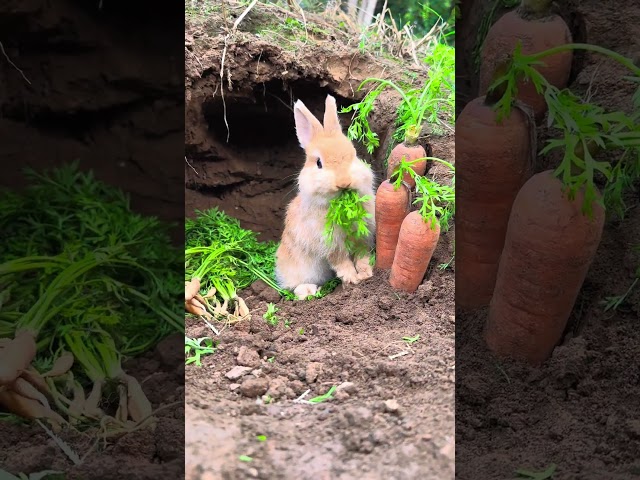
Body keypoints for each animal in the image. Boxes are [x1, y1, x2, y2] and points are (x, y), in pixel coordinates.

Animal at [274, 93, 376, 300]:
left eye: (353, 155)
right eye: (319, 163)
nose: (344, 182)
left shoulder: (364, 235)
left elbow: (362, 255)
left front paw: (365, 273)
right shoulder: (330, 244)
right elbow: (341, 261)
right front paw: (352, 279)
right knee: (292, 285)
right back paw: (308, 291)